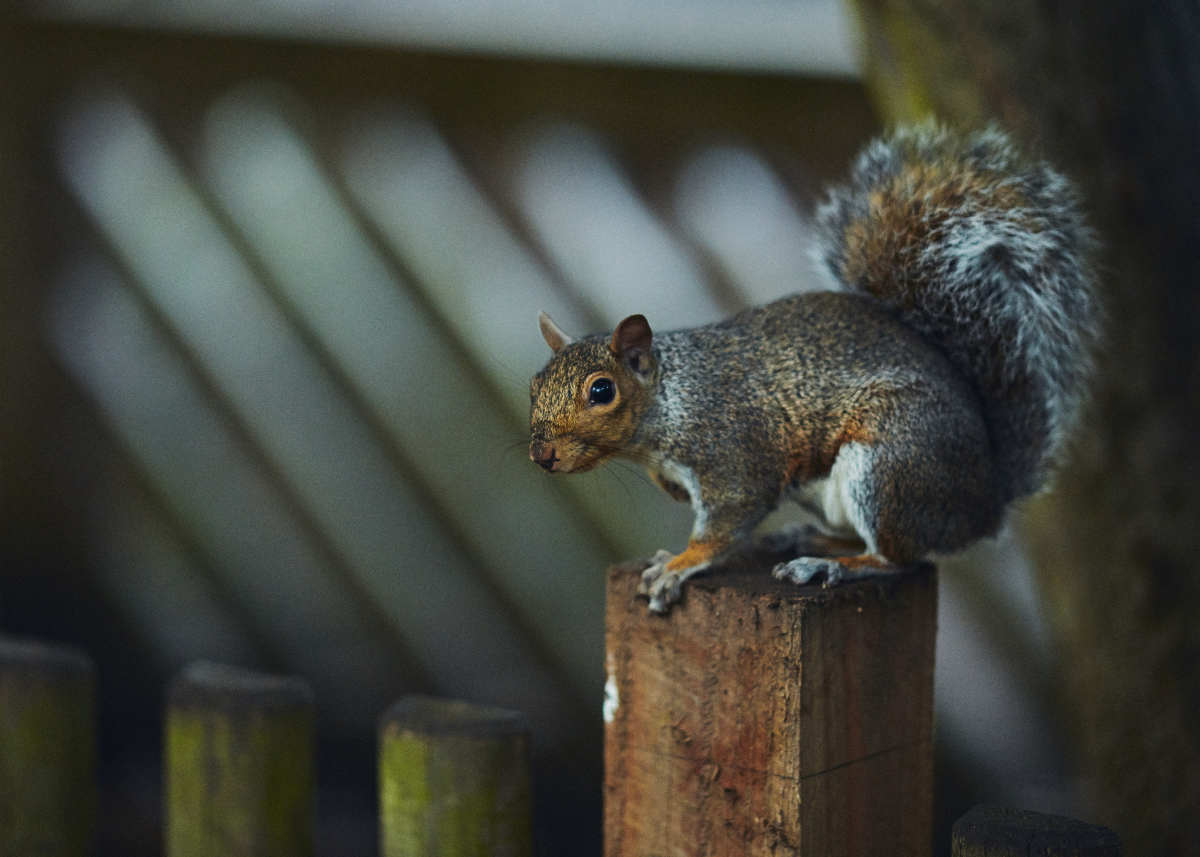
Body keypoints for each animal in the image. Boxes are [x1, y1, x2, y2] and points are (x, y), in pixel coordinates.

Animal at [525, 123, 1099, 609]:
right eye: (534, 385)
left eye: (602, 391)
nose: (542, 455)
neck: (672, 400)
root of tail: (985, 503)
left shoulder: (733, 458)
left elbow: (723, 525)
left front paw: (679, 564)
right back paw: (808, 539)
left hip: (891, 463)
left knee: (899, 557)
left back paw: (831, 567)